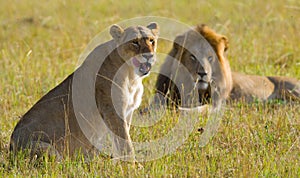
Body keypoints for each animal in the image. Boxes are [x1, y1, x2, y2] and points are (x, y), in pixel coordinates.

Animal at [9, 22, 159, 161]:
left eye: (152, 40)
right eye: (135, 42)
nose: (149, 55)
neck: (131, 75)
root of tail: (10, 147)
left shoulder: (127, 111)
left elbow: (121, 140)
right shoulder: (112, 110)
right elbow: (125, 142)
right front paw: (132, 166)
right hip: (46, 148)